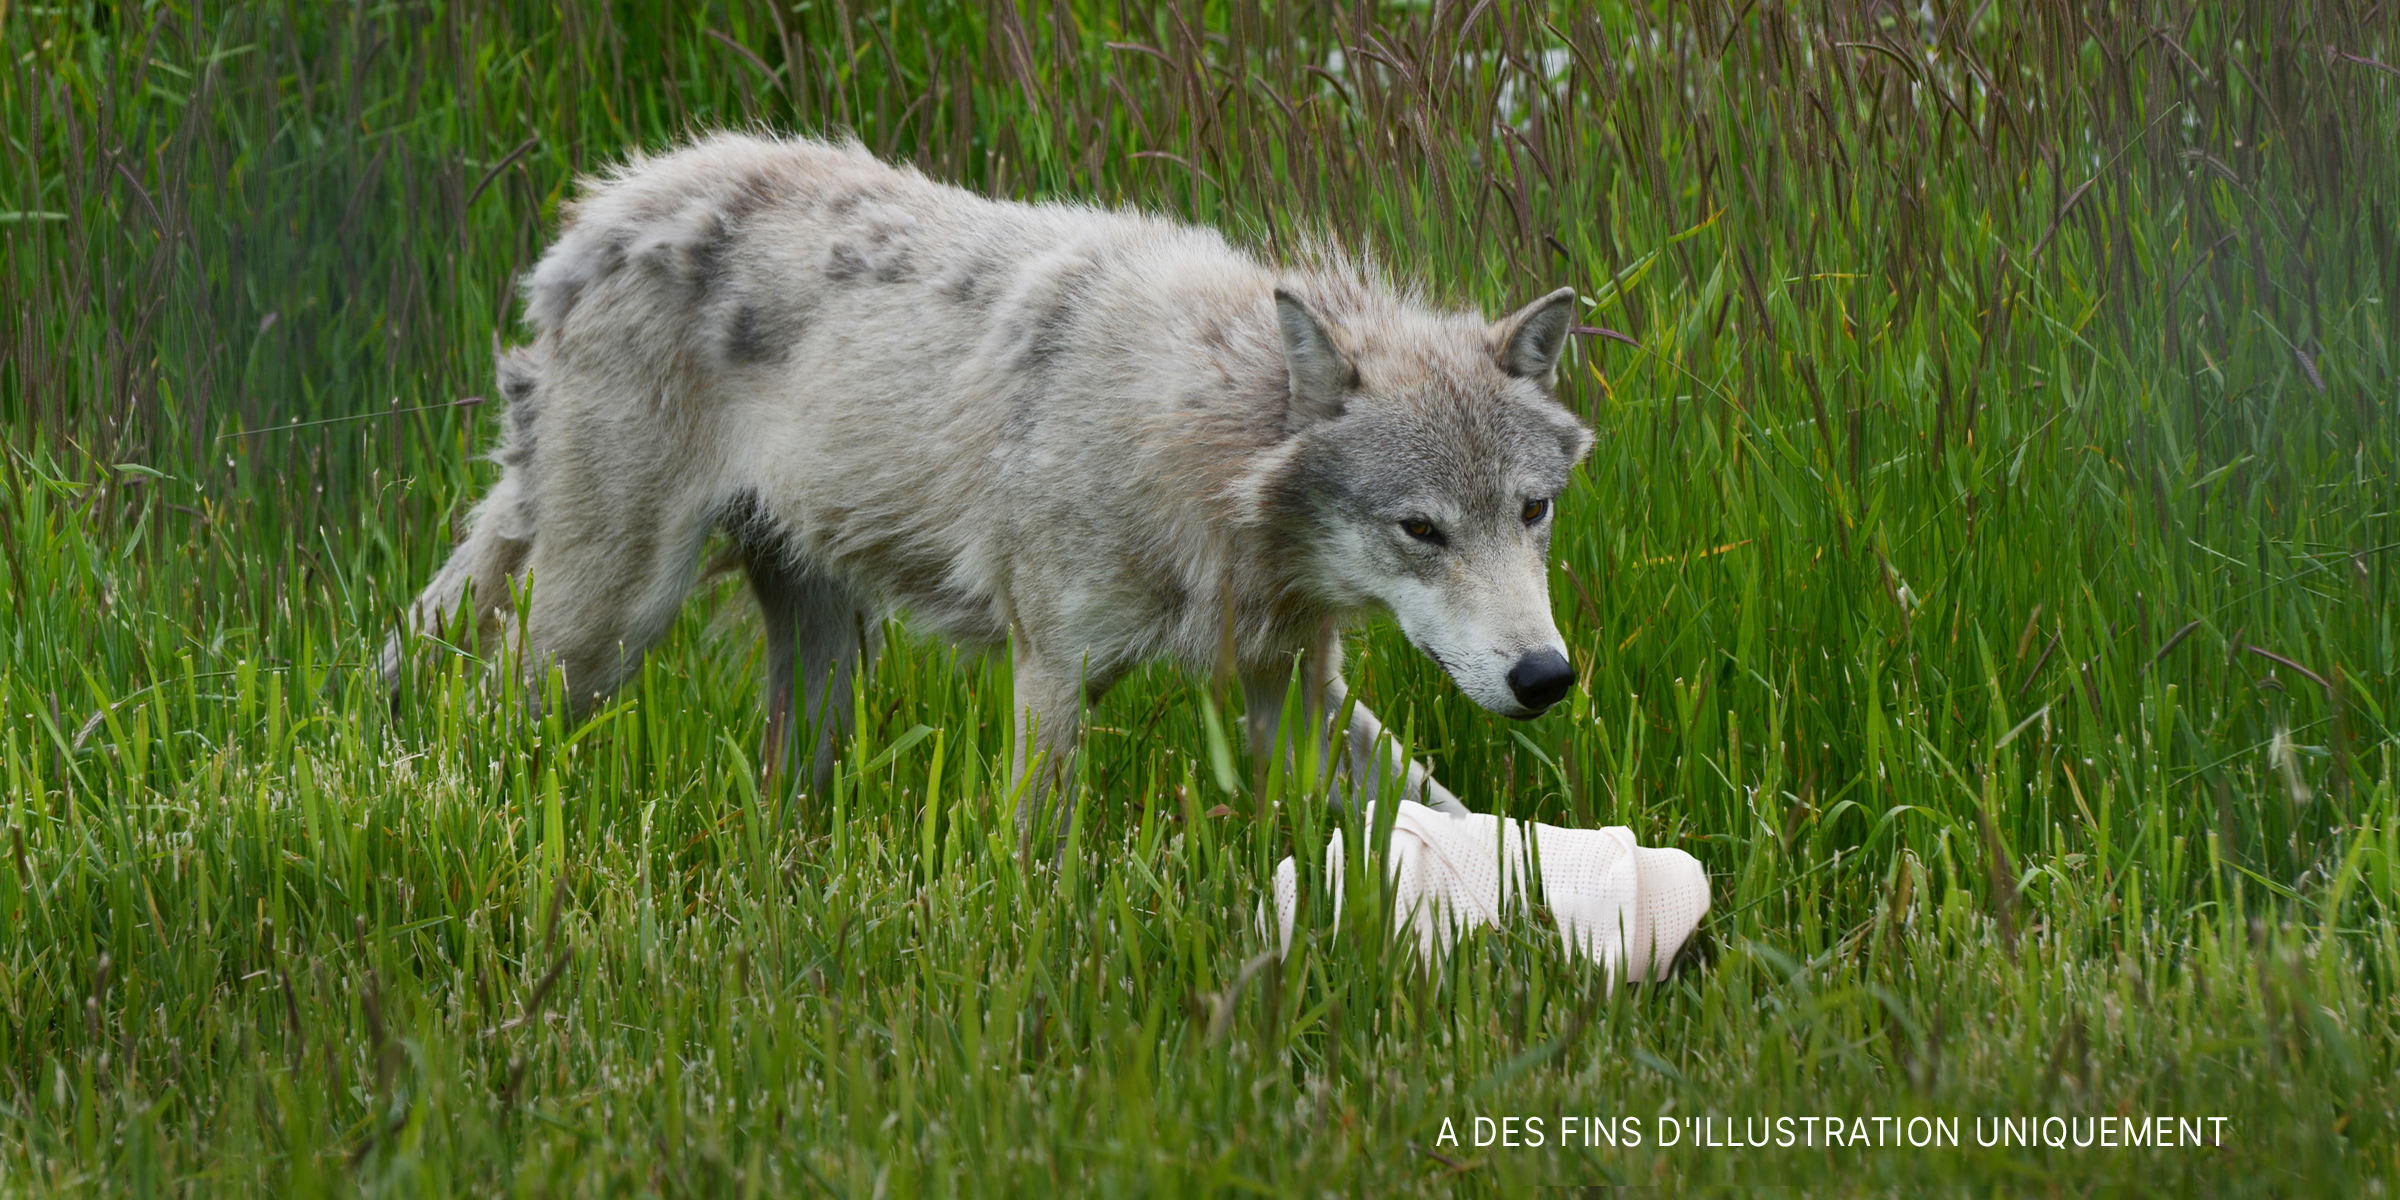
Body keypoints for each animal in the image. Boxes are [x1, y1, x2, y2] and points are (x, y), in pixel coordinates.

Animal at [384, 131, 1593, 844]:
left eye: (1531, 511)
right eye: (1422, 530)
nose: (1546, 678)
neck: (1198, 437)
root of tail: (596, 218)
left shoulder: (1293, 687)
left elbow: (1451, 808)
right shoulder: (1052, 672)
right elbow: (1036, 865)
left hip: (821, 662)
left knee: (781, 797)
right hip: (603, 636)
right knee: (478, 721)